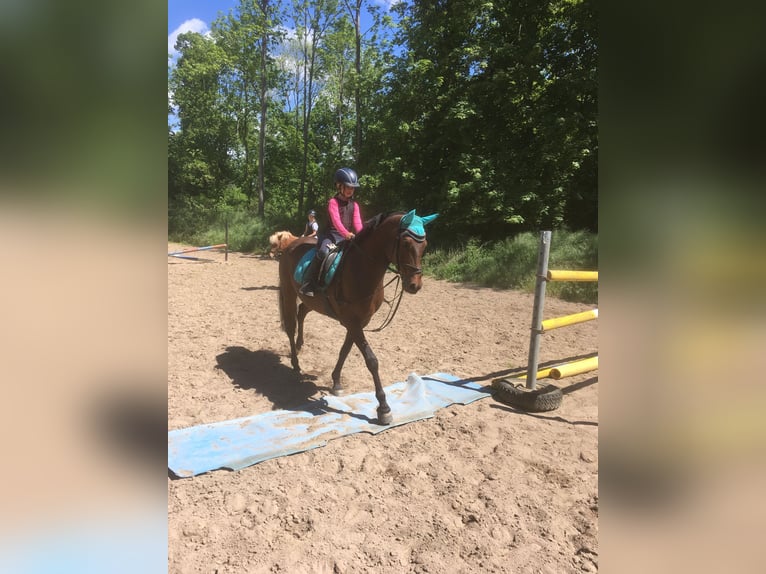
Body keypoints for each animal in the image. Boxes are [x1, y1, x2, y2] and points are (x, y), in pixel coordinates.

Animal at [280, 209, 438, 426]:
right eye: (406, 244)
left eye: (425, 245)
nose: (414, 285)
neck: (360, 270)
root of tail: (291, 243)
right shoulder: (352, 322)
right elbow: (371, 361)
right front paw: (384, 408)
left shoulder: (359, 321)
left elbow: (345, 350)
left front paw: (336, 382)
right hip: (288, 291)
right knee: (290, 325)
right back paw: (295, 363)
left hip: (311, 301)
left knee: (302, 311)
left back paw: (300, 345)